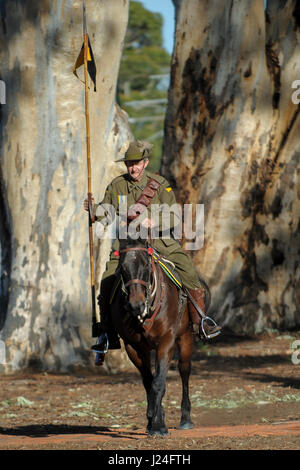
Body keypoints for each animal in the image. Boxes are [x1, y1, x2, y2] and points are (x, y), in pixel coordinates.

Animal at [109, 237, 210, 436]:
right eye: (122, 268)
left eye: (147, 266)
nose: (136, 305)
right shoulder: (134, 347)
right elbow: (149, 383)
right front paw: (153, 420)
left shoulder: (166, 341)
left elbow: (158, 383)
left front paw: (158, 426)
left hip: (185, 337)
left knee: (184, 371)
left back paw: (186, 419)